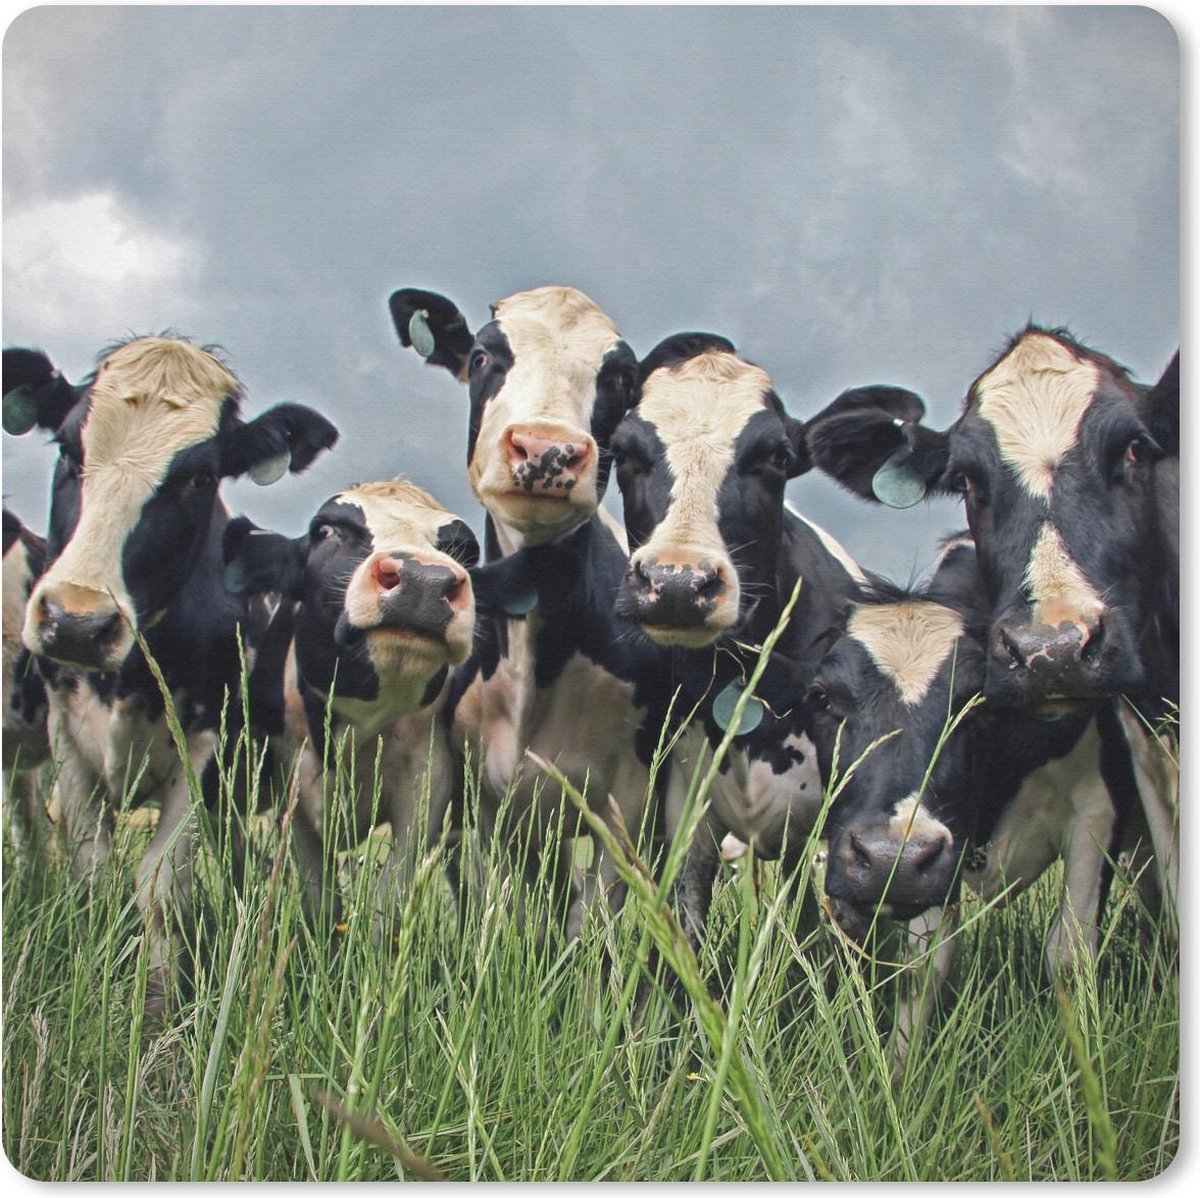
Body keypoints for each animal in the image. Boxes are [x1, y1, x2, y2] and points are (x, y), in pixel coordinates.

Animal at [3, 336, 338, 1015]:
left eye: (198, 478)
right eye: (69, 449)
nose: (77, 622)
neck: (127, 676)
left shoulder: (203, 754)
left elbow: (161, 888)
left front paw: (158, 1010)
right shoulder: (69, 745)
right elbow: (91, 874)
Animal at [387, 285, 677, 937]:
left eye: (622, 378)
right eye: (480, 357)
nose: (548, 450)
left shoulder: (628, 799)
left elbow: (590, 927)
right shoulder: (488, 802)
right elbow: (518, 915)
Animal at [608, 333, 867, 941]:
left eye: (777, 456)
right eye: (623, 452)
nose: (677, 583)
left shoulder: (824, 829)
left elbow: (808, 935)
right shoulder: (684, 813)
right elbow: (687, 929)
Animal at [804, 533, 1143, 1073]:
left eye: (977, 703)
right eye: (821, 697)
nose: (887, 858)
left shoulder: (1099, 808)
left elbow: (1069, 956)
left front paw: (1081, 1074)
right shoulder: (933, 862)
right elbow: (923, 965)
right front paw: (899, 1075)